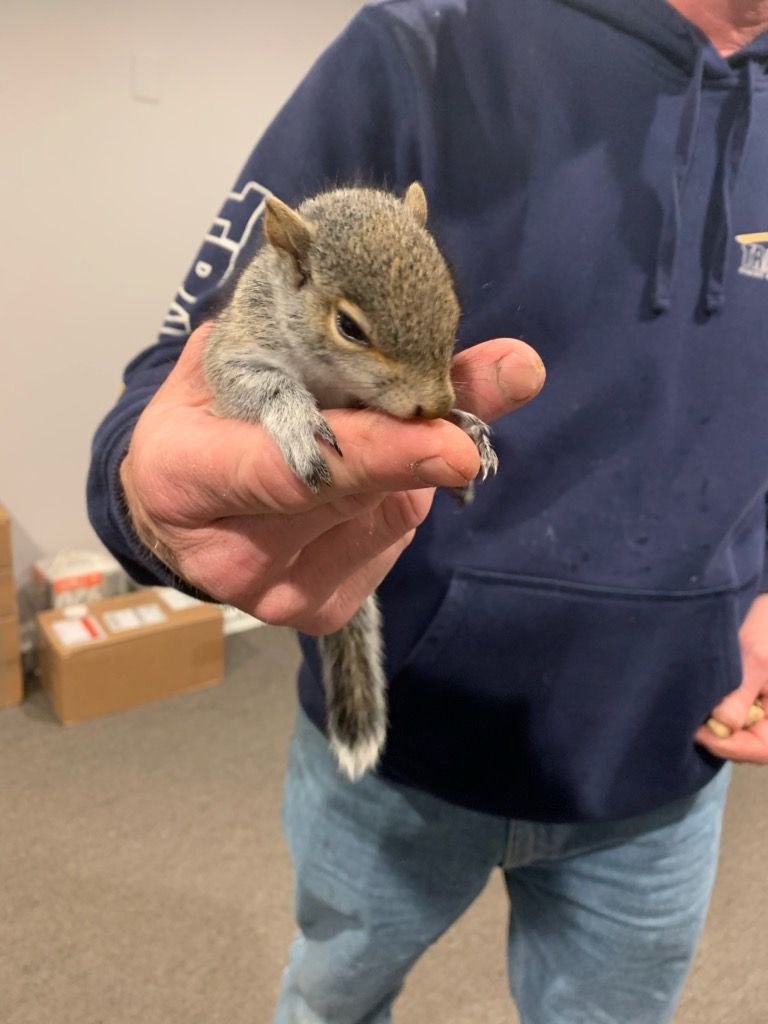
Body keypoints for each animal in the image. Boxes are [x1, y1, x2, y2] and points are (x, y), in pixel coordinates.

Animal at [203, 183, 498, 780]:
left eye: (451, 300)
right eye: (349, 328)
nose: (437, 405)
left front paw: (465, 425)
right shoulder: (237, 350)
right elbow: (254, 384)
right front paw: (297, 419)